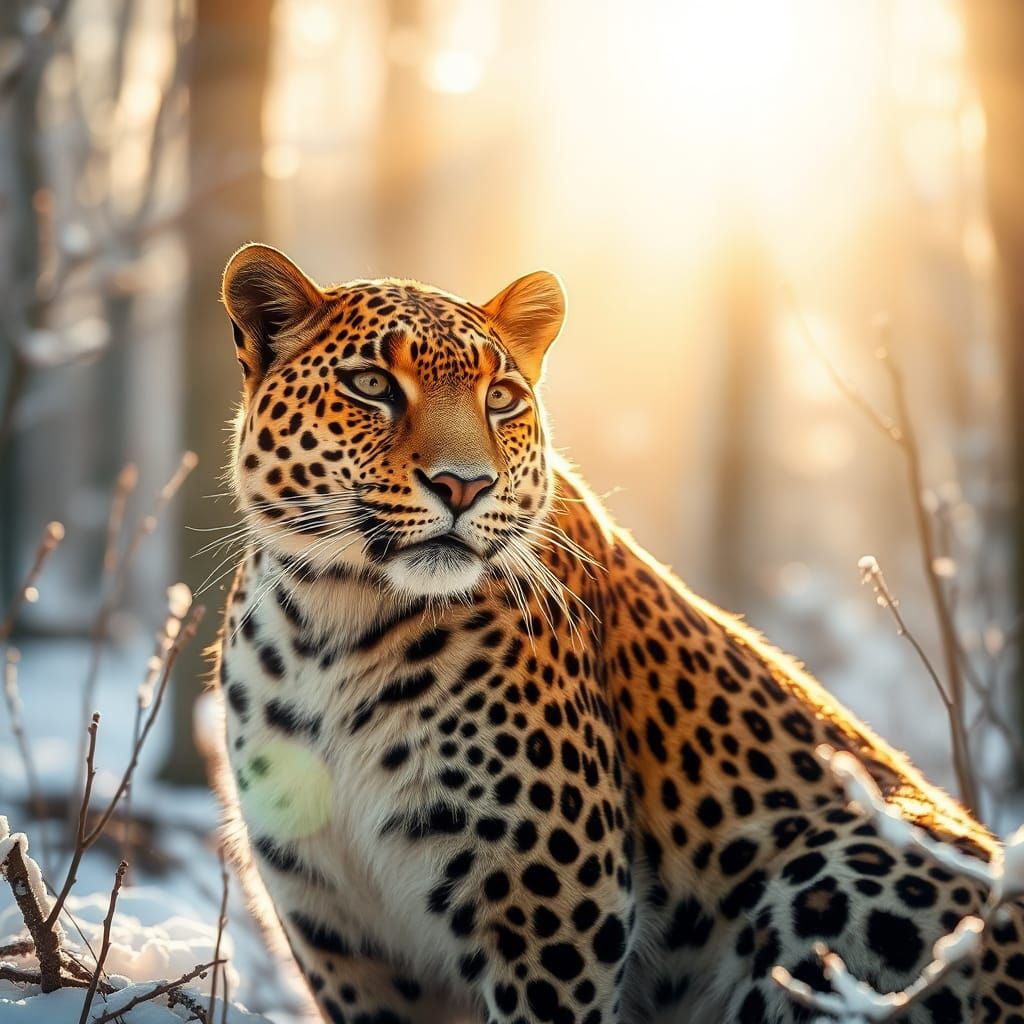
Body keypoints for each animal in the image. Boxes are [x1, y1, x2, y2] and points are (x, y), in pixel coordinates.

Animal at [210, 242, 1024, 1024]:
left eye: (500, 398)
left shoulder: (551, 916)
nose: (464, 485)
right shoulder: (347, 943)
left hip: (841, 863)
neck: (332, 625)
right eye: (372, 385)